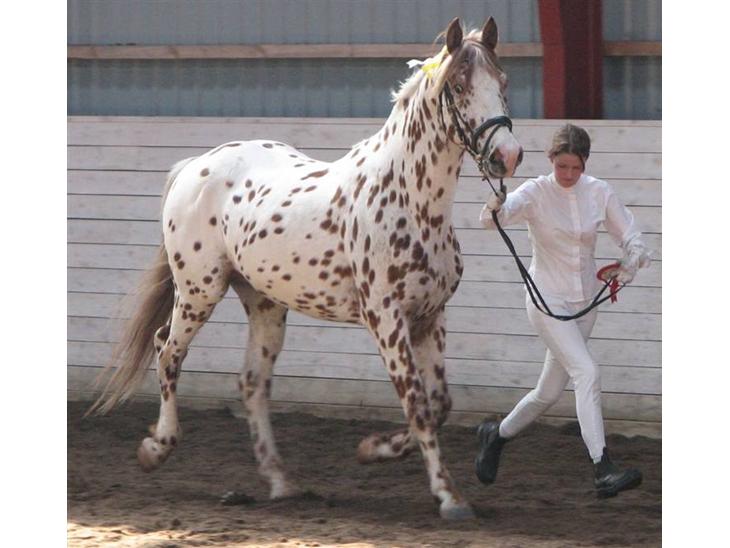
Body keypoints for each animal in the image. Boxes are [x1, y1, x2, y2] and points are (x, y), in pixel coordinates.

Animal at [90, 17, 523, 519]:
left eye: (503, 81)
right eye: (458, 85)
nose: (508, 155)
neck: (409, 201)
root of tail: (194, 167)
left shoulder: (429, 316)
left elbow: (439, 404)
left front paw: (372, 449)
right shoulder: (386, 320)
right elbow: (417, 404)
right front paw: (449, 497)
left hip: (264, 304)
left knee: (252, 383)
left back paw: (281, 482)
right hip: (199, 290)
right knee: (168, 352)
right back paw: (156, 449)